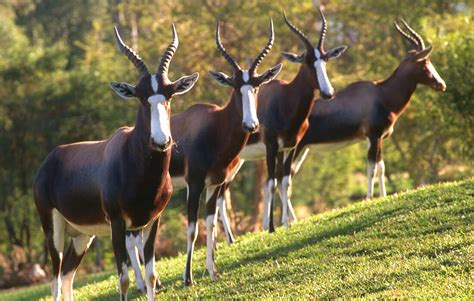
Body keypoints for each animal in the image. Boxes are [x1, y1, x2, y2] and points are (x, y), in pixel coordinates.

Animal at [32, 24, 198, 298]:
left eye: (169, 95)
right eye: (140, 97)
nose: (161, 141)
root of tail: (49, 160)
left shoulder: (152, 221)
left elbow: (151, 275)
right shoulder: (118, 225)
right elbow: (123, 279)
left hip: (82, 235)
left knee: (67, 276)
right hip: (52, 229)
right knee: (55, 280)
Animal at [214, 6, 344, 239]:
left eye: (325, 60)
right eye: (307, 62)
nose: (328, 93)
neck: (285, 99)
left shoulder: (290, 147)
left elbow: (284, 180)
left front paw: (286, 224)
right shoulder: (272, 147)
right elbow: (271, 182)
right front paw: (272, 227)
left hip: (238, 162)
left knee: (220, 195)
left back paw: (228, 240)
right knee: (219, 195)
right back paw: (229, 239)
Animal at [262, 18, 448, 230]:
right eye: (425, 62)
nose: (441, 85)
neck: (381, 93)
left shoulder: (378, 138)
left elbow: (381, 166)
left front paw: (384, 197)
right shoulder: (373, 136)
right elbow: (372, 168)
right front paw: (369, 198)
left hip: (299, 150)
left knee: (282, 178)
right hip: (296, 148)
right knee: (280, 179)